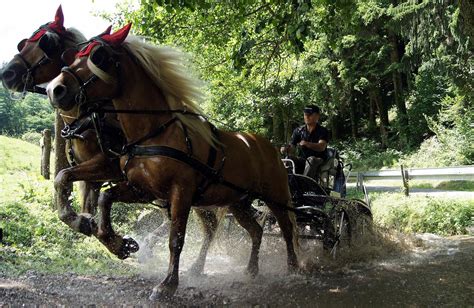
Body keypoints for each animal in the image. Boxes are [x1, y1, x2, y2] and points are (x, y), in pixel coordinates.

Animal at [0, 6, 220, 268]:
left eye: (47, 43)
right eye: (24, 43)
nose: (7, 74)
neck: (90, 119)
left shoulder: (108, 165)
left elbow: (62, 178)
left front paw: (113, 240)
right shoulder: (94, 179)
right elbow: (79, 198)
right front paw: (94, 228)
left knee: (208, 224)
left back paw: (196, 265)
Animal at [48, 24, 300, 300]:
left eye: (98, 57)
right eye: (74, 55)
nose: (54, 89)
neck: (153, 133)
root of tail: (269, 146)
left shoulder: (180, 192)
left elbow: (175, 239)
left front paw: (167, 284)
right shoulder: (141, 189)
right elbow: (102, 196)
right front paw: (119, 244)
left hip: (274, 197)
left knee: (286, 228)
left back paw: (293, 268)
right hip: (237, 201)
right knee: (255, 230)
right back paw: (251, 270)